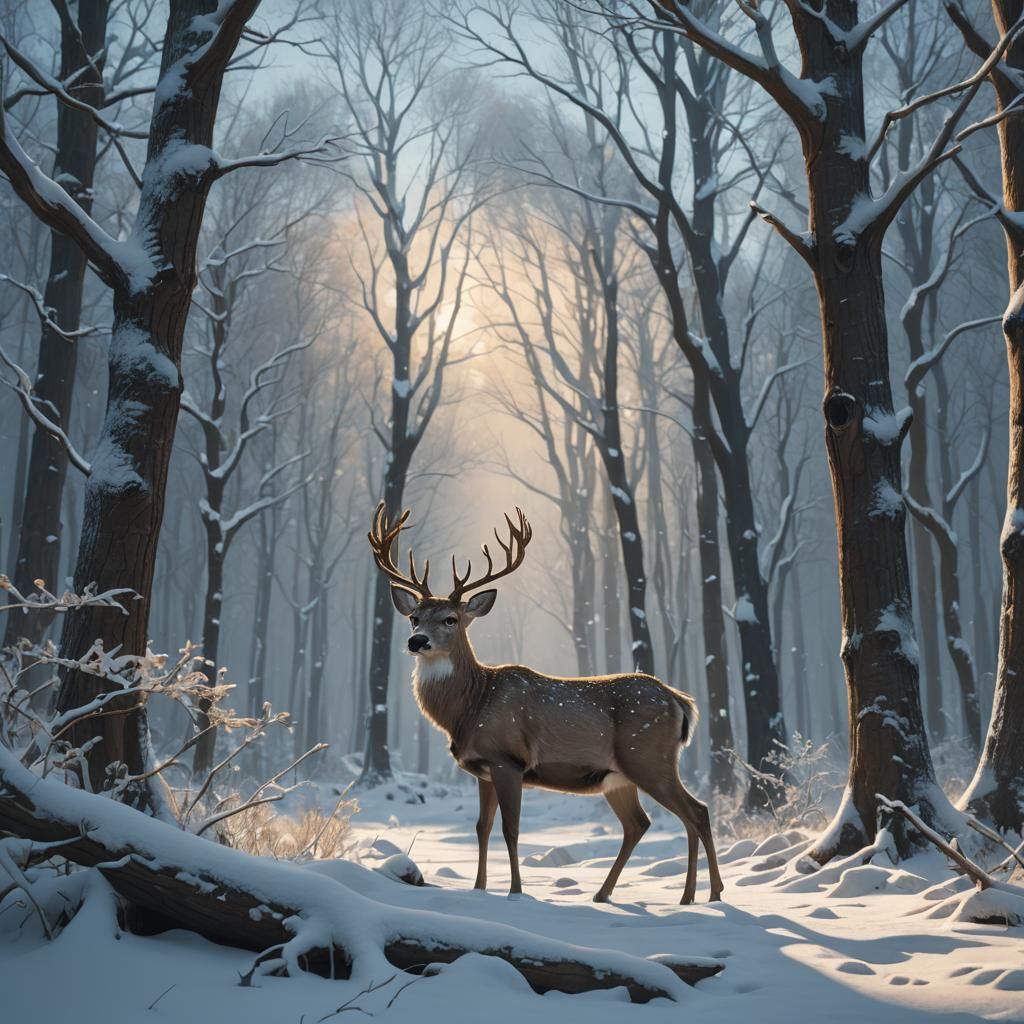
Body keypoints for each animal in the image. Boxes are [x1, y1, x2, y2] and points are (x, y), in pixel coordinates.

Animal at [368, 502, 724, 905]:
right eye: (414, 617)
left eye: (451, 619)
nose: (417, 641)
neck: (472, 705)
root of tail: (680, 701)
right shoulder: (483, 770)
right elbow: (482, 827)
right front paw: (479, 888)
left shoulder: (508, 760)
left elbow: (511, 829)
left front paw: (516, 892)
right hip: (619, 776)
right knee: (642, 823)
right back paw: (621, 895)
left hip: (649, 757)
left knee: (697, 812)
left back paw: (710, 894)